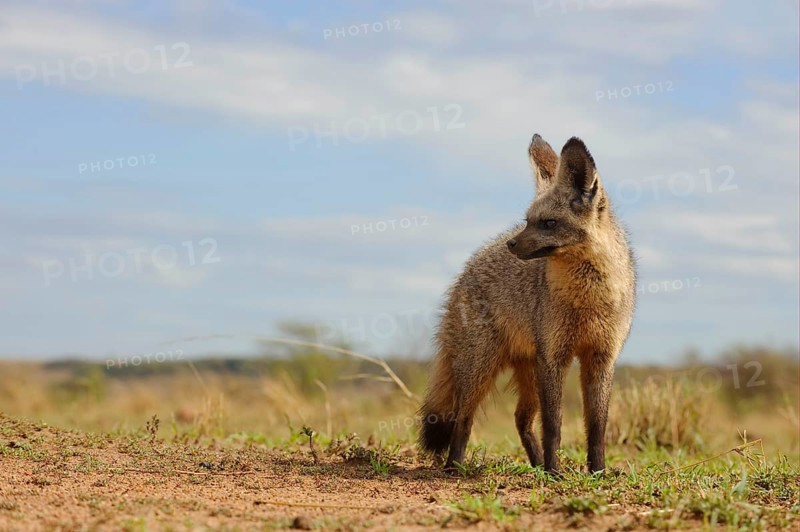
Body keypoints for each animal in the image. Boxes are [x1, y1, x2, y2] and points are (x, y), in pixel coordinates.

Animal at [418, 134, 636, 473]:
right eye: (528, 221)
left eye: (547, 223)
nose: (511, 245)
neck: (587, 300)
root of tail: (468, 268)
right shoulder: (555, 357)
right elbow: (554, 426)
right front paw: (555, 473)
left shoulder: (601, 357)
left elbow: (597, 427)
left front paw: (597, 472)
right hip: (481, 369)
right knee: (462, 420)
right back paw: (454, 468)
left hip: (528, 373)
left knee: (521, 419)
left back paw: (535, 465)